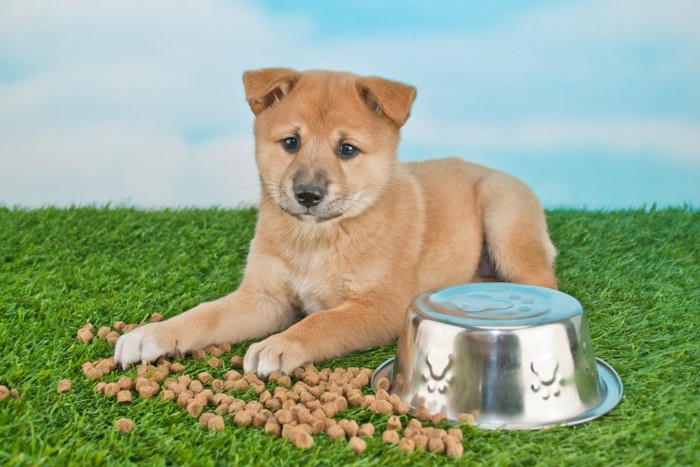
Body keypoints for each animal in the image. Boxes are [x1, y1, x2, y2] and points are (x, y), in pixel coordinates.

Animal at [115, 68, 556, 376]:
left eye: (346, 149)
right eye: (291, 142)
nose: (308, 194)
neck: (317, 238)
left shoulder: (381, 307)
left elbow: (323, 321)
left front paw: (279, 345)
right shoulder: (264, 298)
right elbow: (204, 314)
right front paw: (149, 335)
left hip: (504, 219)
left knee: (544, 283)